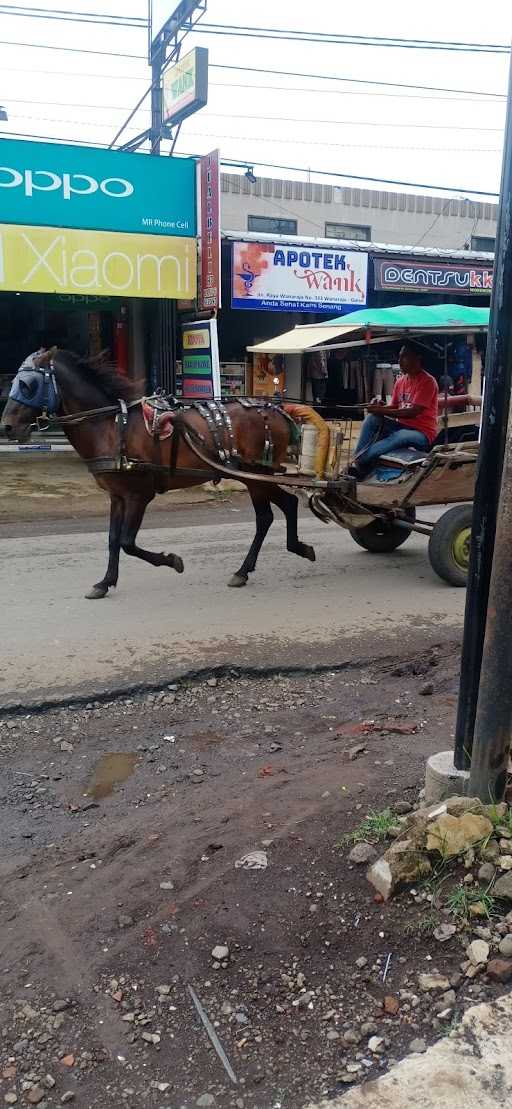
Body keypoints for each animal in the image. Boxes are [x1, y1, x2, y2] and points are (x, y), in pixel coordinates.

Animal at [1, 350, 316, 603]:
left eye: (28, 385)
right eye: (14, 382)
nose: (6, 427)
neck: (112, 427)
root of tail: (277, 411)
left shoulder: (139, 495)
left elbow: (128, 542)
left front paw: (172, 560)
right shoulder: (117, 495)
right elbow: (113, 539)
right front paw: (105, 582)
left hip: (255, 476)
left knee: (266, 517)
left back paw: (246, 568)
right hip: (256, 476)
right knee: (286, 505)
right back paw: (293, 549)